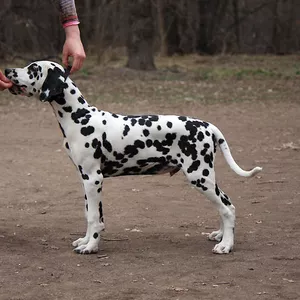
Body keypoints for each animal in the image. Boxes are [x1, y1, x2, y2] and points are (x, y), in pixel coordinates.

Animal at [5, 60, 262, 253]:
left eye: (33, 68)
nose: (6, 70)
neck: (79, 117)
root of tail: (208, 126)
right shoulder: (85, 179)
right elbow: (90, 213)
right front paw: (86, 240)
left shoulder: (93, 179)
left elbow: (94, 218)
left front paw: (91, 247)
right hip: (205, 178)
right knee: (225, 204)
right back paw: (220, 235)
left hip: (199, 176)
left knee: (228, 208)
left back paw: (226, 245)